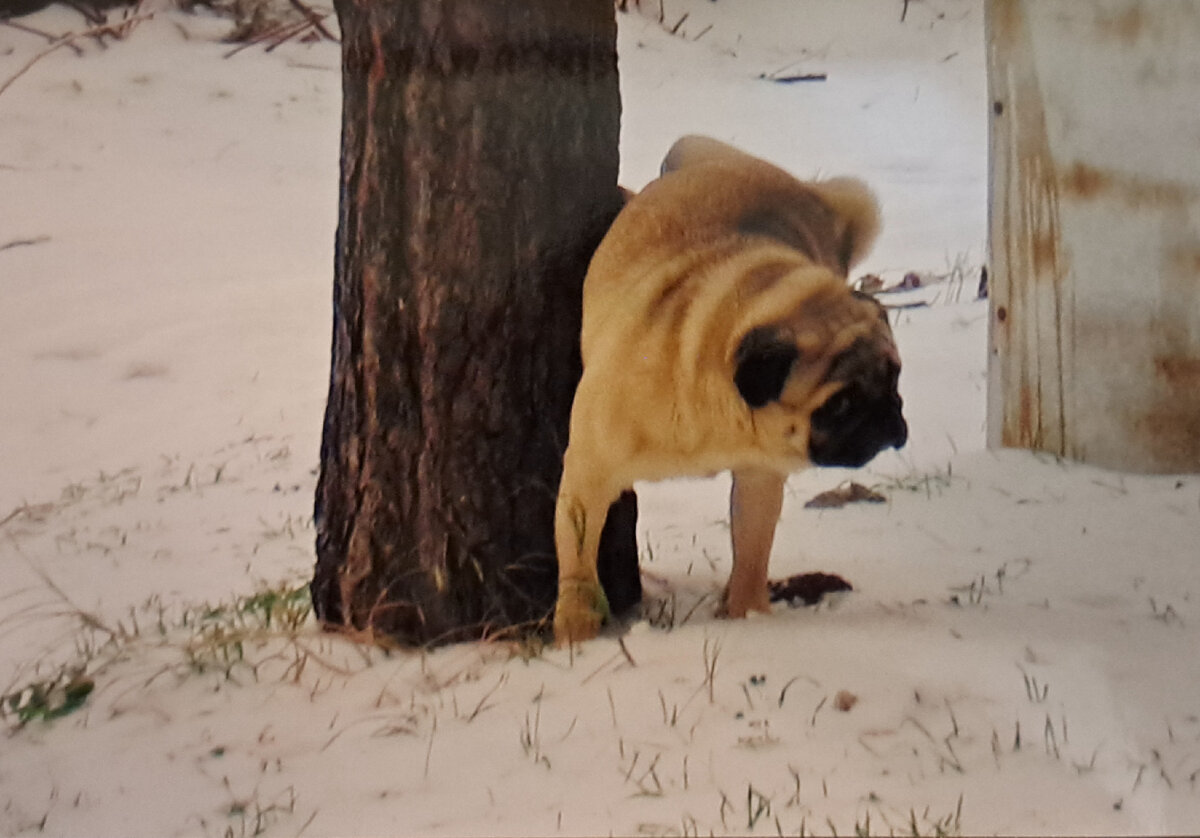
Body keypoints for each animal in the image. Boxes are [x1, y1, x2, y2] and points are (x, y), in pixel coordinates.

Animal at [556, 135, 902, 638]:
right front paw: (576, 624)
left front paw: (747, 612)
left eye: (895, 376)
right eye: (840, 404)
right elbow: (577, 557)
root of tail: (811, 193)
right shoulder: (590, 472)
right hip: (686, 147)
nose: (888, 418)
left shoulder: (760, 477)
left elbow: (753, 549)